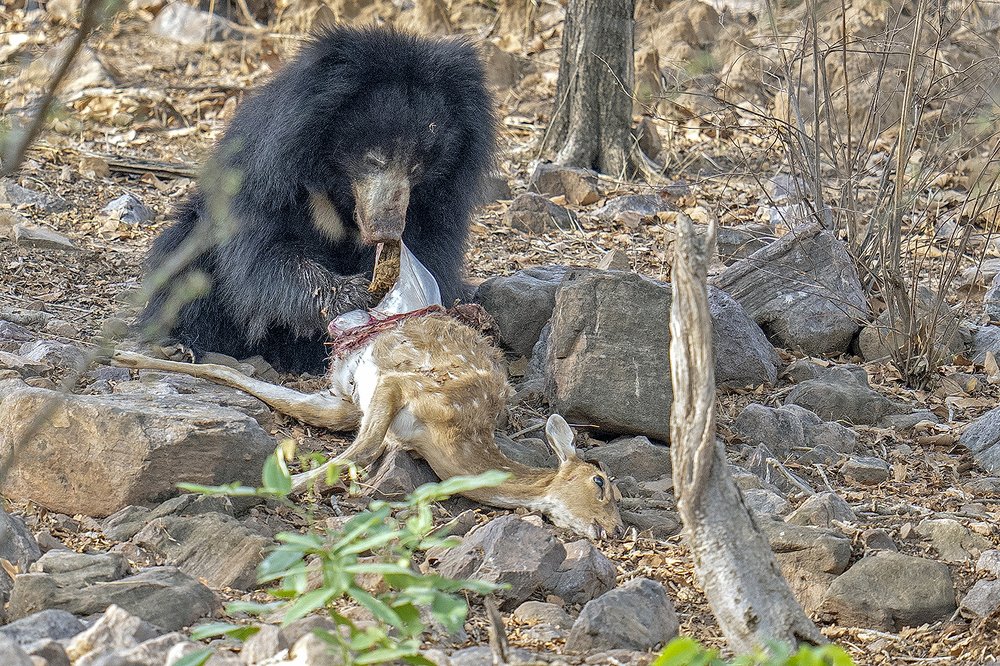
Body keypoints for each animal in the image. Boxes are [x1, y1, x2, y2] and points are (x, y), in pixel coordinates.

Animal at [113, 245, 624, 540]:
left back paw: (127, 357)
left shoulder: (364, 406)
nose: (616, 530)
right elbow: (358, 453)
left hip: (338, 400)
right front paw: (259, 492)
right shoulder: (408, 388)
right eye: (601, 483)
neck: (451, 444)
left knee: (250, 379)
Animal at [138, 26, 495, 374]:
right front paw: (353, 293)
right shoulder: (270, 171)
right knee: (185, 262)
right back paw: (179, 345)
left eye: (418, 166)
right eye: (374, 159)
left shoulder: (439, 198)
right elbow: (264, 251)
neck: (338, 184)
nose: (387, 229)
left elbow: (431, 246)